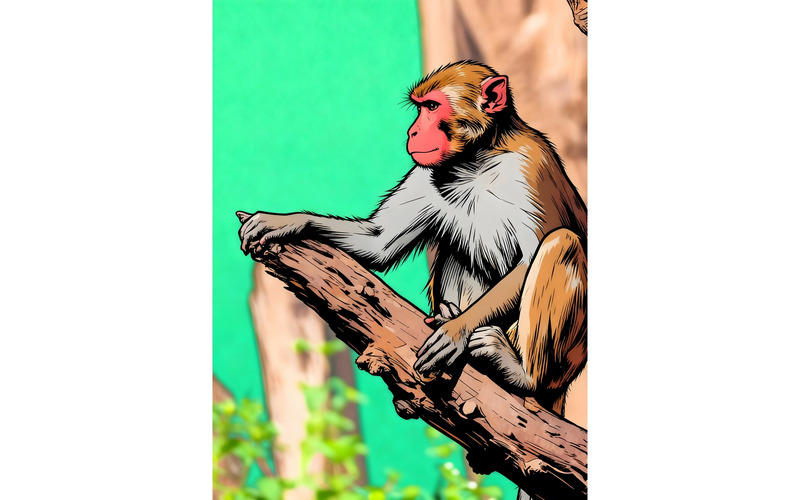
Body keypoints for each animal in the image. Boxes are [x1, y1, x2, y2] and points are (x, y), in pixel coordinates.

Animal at [238, 60, 586, 425]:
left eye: (432, 107)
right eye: (420, 108)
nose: (413, 133)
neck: (476, 161)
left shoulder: (528, 166)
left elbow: (530, 259)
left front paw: (457, 330)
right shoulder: (425, 173)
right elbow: (379, 242)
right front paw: (289, 221)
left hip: (564, 358)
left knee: (561, 243)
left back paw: (522, 374)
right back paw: (447, 312)